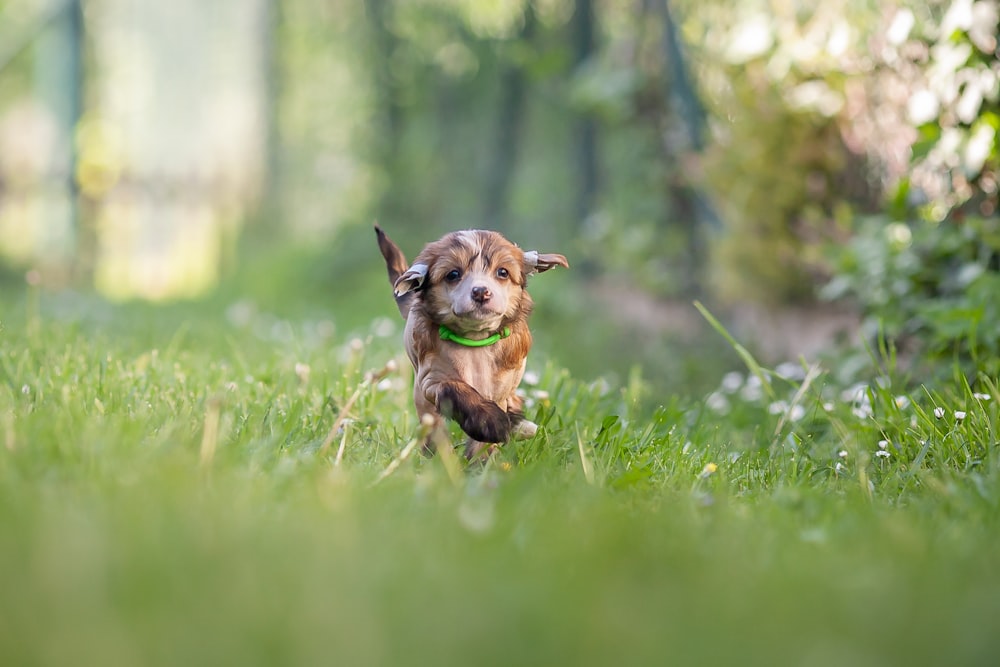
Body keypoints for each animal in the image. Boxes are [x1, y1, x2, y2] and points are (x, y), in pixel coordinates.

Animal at [376, 224, 568, 460]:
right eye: (453, 274)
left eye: (502, 272)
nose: (481, 292)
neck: (474, 339)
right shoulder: (431, 378)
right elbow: (455, 388)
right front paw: (490, 422)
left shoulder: (500, 386)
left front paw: (481, 461)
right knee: (433, 426)